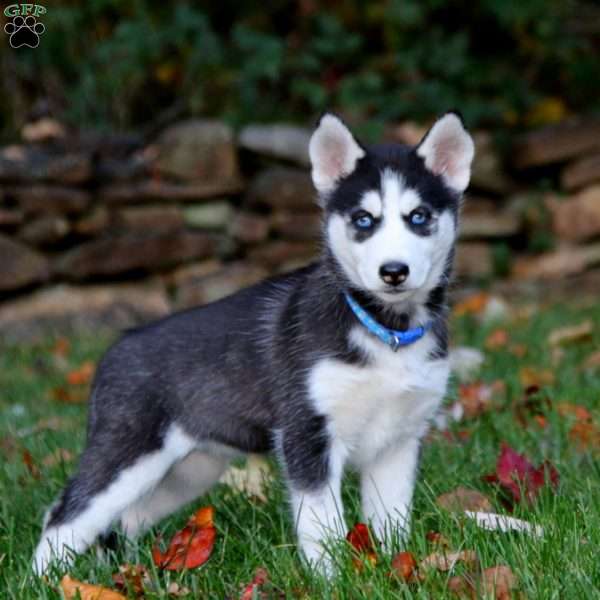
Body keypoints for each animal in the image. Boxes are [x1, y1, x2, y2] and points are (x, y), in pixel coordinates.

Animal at [34, 110, 474, 576]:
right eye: (363, 220)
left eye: (419, 216)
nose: (393, 271)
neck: (384, 329)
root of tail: (113, 351)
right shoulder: (307, 435)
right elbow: (322, 526)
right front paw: (330, 579)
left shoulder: (398, 442)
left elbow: (391, 519)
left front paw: (397, 568)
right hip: (128, 454)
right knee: (64, 515)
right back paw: (47, 580)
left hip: (190, 469)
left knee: (127, 518)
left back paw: (135, 573)